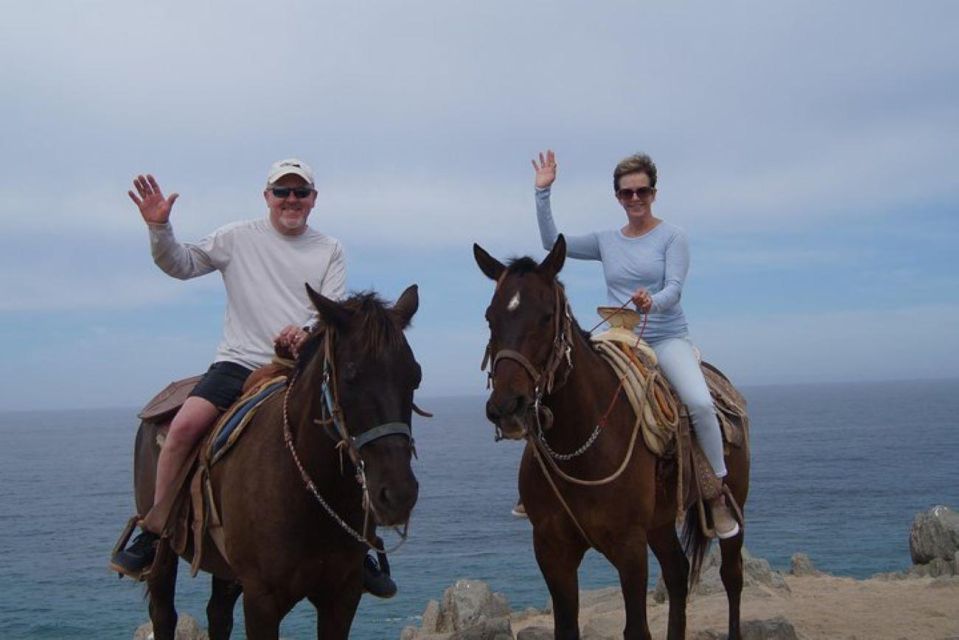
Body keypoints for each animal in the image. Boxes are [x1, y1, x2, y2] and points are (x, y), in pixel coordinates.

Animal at [132, 286, 424, 640]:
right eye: (351, 376)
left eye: (415, 377)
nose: (399, 494)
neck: (310, 488)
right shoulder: (262, 601)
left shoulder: (342, 596)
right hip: (164, 553)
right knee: (163, 613)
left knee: (218, 614)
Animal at [472, 238, 752, 636]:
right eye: (490, 317)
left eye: (546, 316)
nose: (508, 406)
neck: (580, 444)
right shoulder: (551, 550)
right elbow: (566, 628)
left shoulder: (629, 547)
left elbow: (636, 629)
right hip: (660, 522)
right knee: (677, 573)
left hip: (734, 501)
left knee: (732, 575)